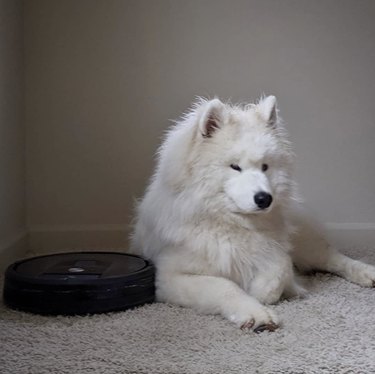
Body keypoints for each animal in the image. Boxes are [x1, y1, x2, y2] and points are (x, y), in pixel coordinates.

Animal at [131, 96, 375, 334]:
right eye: (235, 166)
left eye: (265, 166)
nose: (265, 199)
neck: (233, 223)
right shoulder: (170, 277)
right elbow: (225, 286)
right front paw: (257, 314)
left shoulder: (276, 250)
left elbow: (280, 268)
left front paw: (271, 290)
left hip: (306, 245)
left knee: (333, 257)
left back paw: (367, 273)